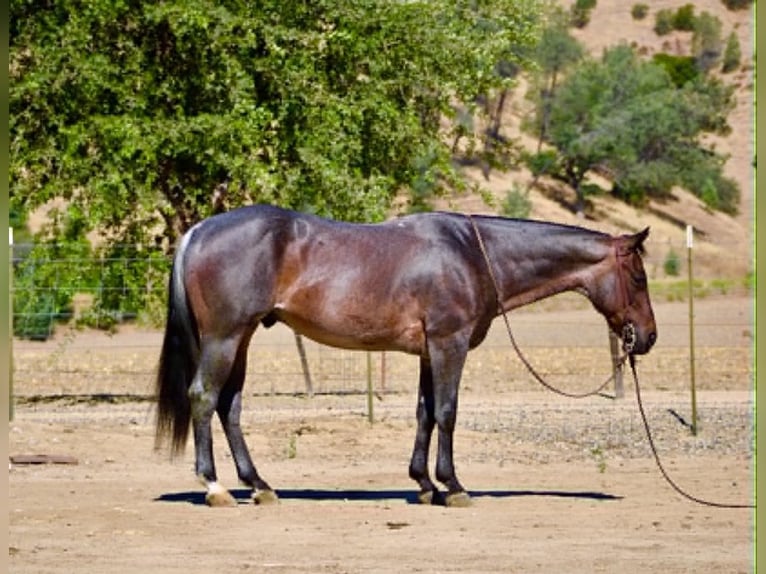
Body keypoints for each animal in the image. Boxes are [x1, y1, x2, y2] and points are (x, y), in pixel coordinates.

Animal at [155, 204, 656, 507]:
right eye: (638, 277)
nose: (648, 337)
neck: (474, 253)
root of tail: (198, 231)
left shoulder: (428, 352)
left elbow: (425, 413)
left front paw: (424, 484)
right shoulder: (449, 343)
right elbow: (448, 412)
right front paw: (453, 486)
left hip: (240, 339)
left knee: (229, 406)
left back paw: (259, 486)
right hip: (224, 337)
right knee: (204, 397)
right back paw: (215, 486)